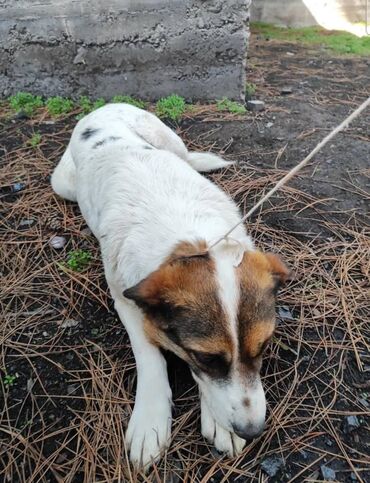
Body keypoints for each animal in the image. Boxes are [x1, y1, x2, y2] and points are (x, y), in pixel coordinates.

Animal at [51, 103, 290, 468]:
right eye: (205, 357)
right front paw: (150, 419)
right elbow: (150, 355)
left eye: (264, 346)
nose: (251, 431)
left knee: (185, 155)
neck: (186, 232)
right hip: (62, 184)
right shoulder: (125, 298)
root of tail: (106, 106)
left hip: (167, 139)